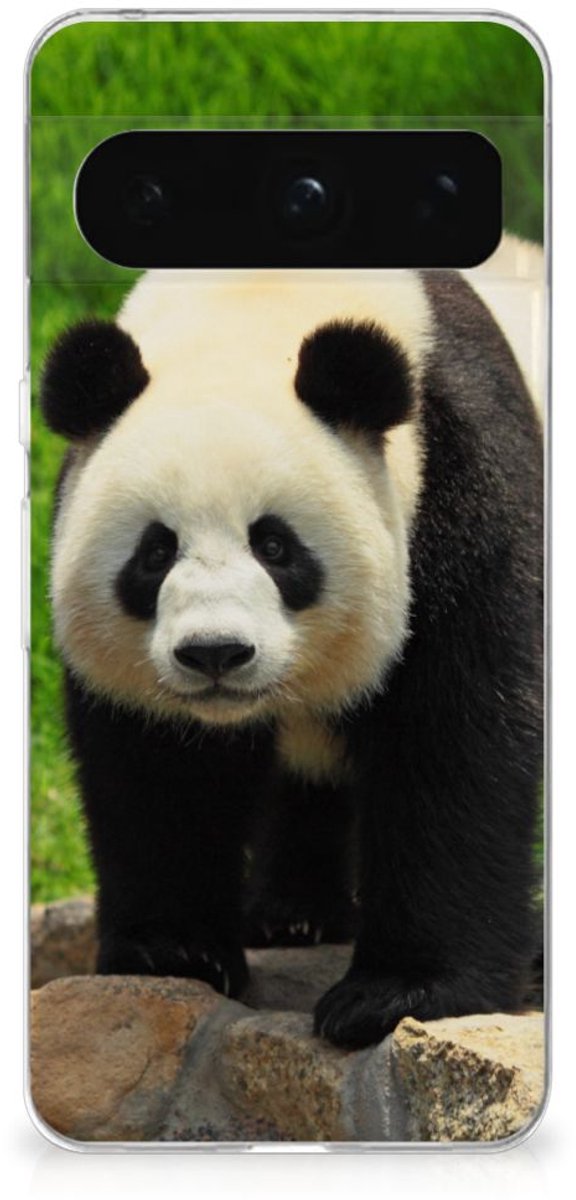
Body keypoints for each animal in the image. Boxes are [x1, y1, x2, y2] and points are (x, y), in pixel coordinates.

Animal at [40, 237, 543, 1049]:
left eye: (275, 545)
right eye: (155, 552)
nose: (214, 653)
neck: (259, 299)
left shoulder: (463, 480)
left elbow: (456, 735)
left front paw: (397, 993)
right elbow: (159, 764)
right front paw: (173, 950)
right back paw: (292, 914)